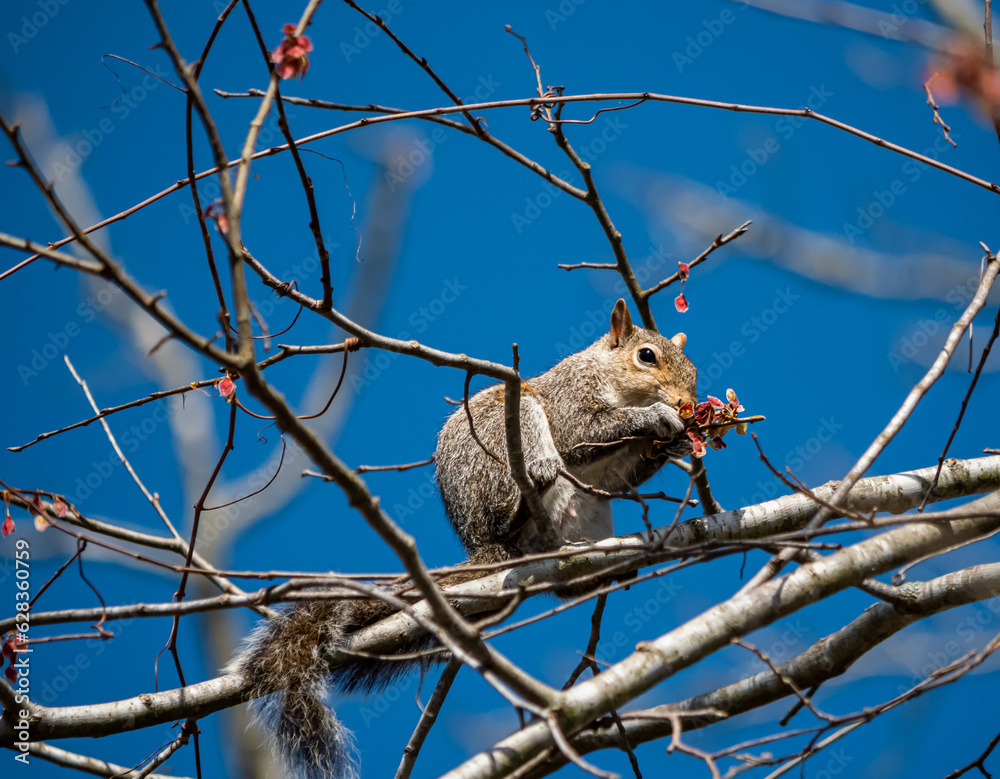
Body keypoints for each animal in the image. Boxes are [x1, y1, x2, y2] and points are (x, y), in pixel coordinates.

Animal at [231, 299, 697, 779]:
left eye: (694, 370)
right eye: (646, 356)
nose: (687, 402)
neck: (610, 378)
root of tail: (490, 550)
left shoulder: (615, 472)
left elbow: (621, 480)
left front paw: (677, 444)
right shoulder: (570, 400)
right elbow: (582, 433)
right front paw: (656, 418)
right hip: (504, 432)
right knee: (518, 488)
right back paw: (530, 493)